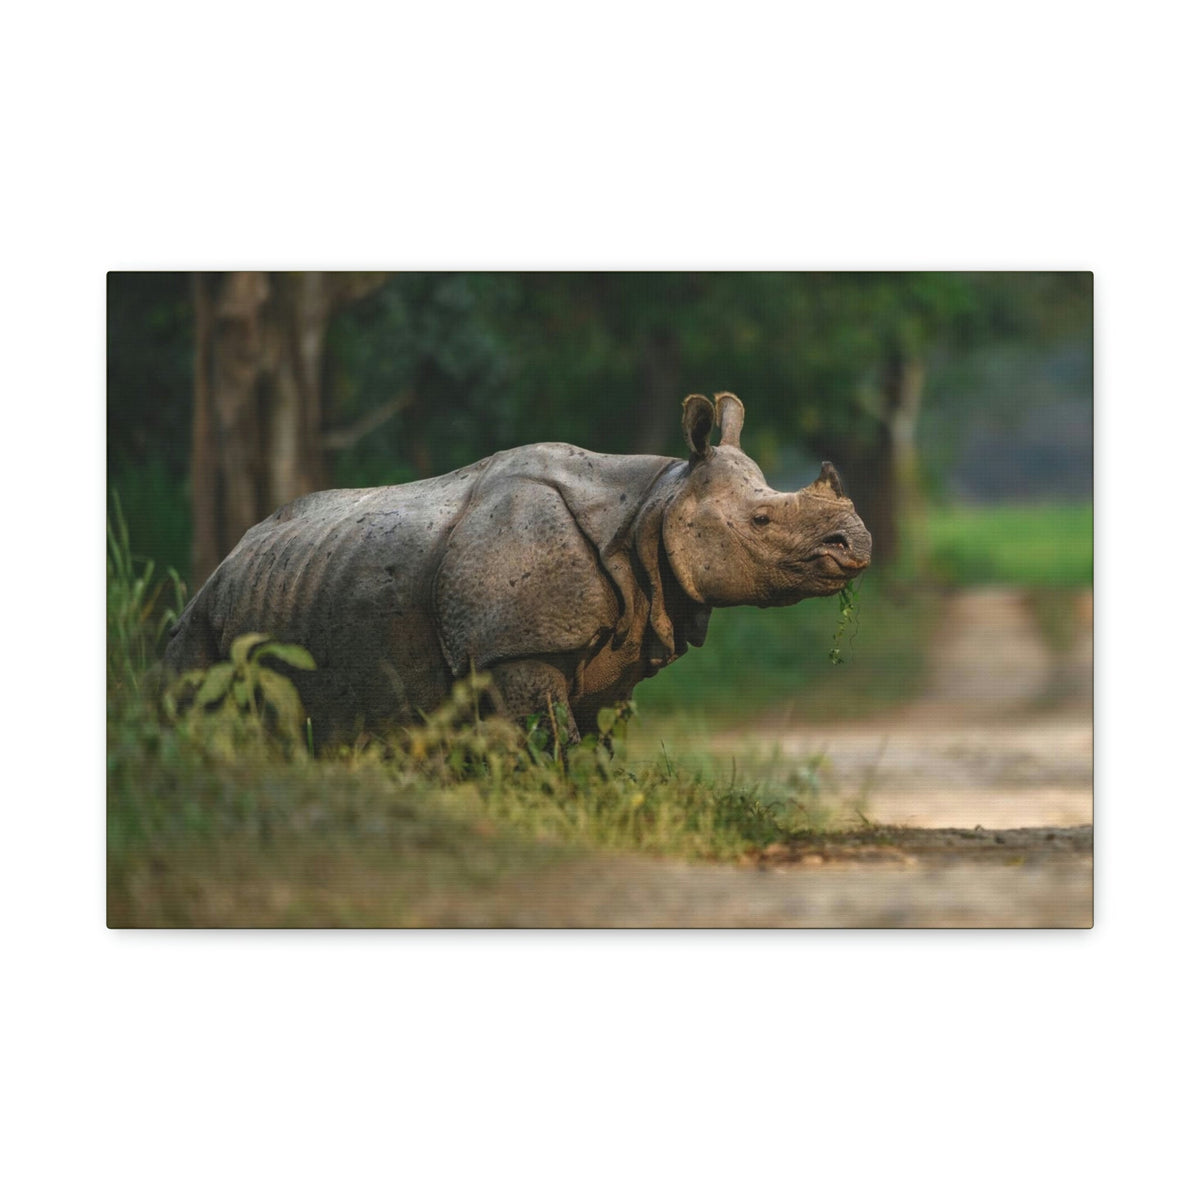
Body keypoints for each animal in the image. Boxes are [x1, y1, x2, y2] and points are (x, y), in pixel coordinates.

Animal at [164, 393, 872, 744]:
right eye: (762, 522)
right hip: (201, 620)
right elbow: (548, 742)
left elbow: (595, 746)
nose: (858, 544)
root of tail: (225, 562)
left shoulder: (616, 643)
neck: (653, 507)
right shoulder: (514, 647)